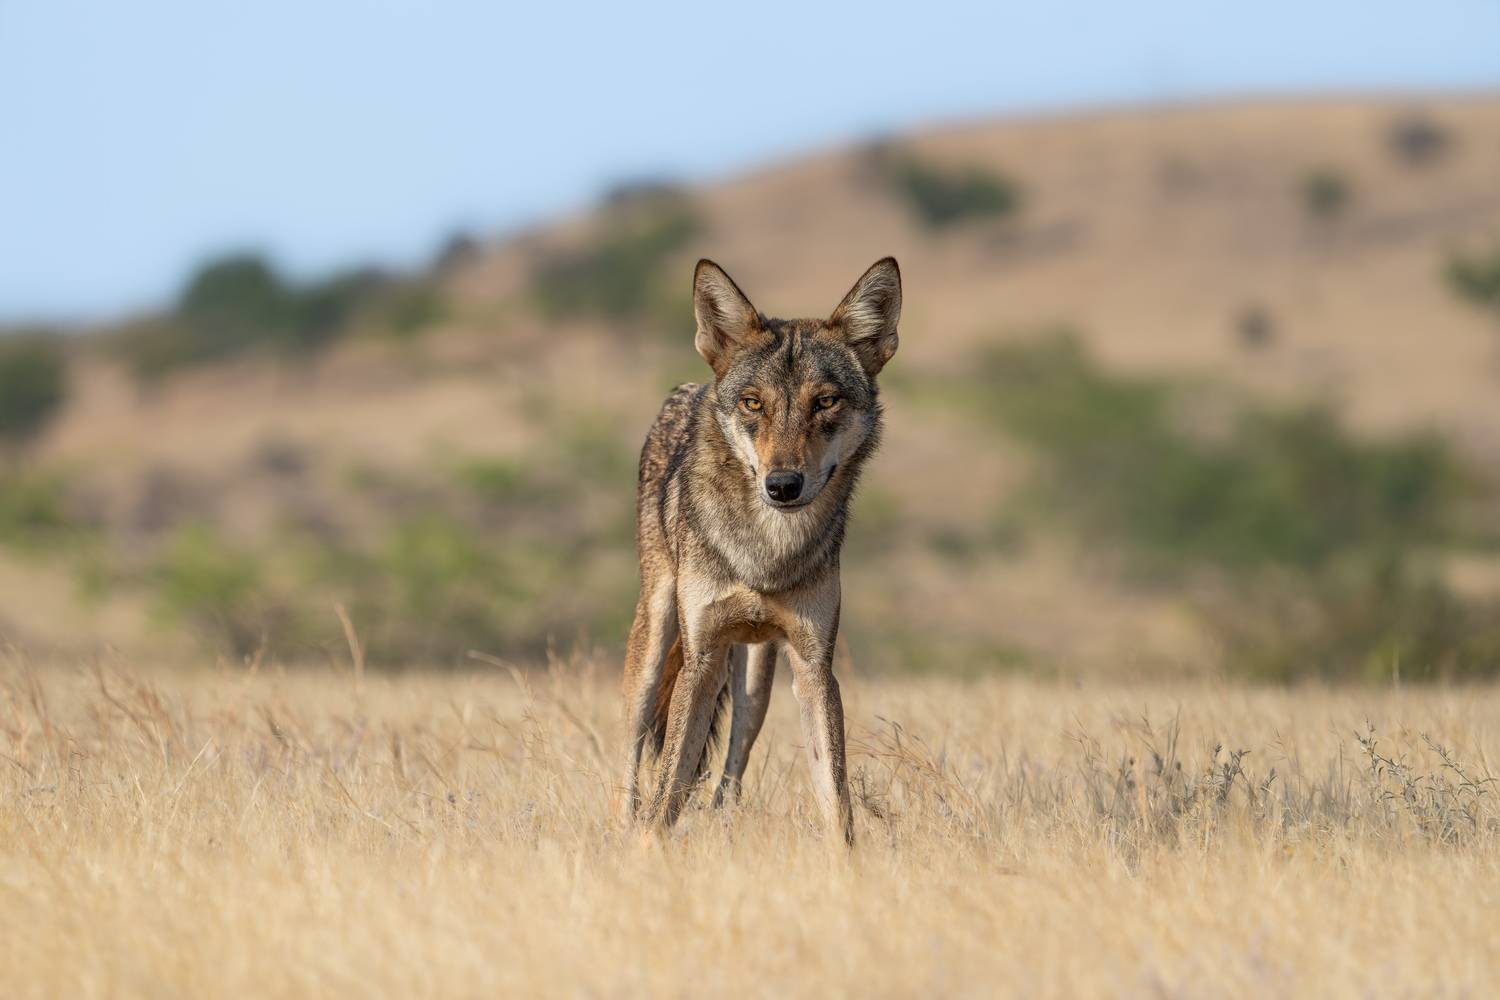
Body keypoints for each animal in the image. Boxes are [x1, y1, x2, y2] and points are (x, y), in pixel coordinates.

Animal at [617, 256, 902, 845]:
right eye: (754, 404)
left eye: (825, 402)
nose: (783, 485)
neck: (765, 553)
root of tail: (689, 388)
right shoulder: (700, 658)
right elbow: (665, 789)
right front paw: (646, 852)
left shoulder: (814, 667)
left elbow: (836, 801)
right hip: (655, 642)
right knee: (634, 761)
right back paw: (621, 827)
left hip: (756, 681)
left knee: (731, 768)